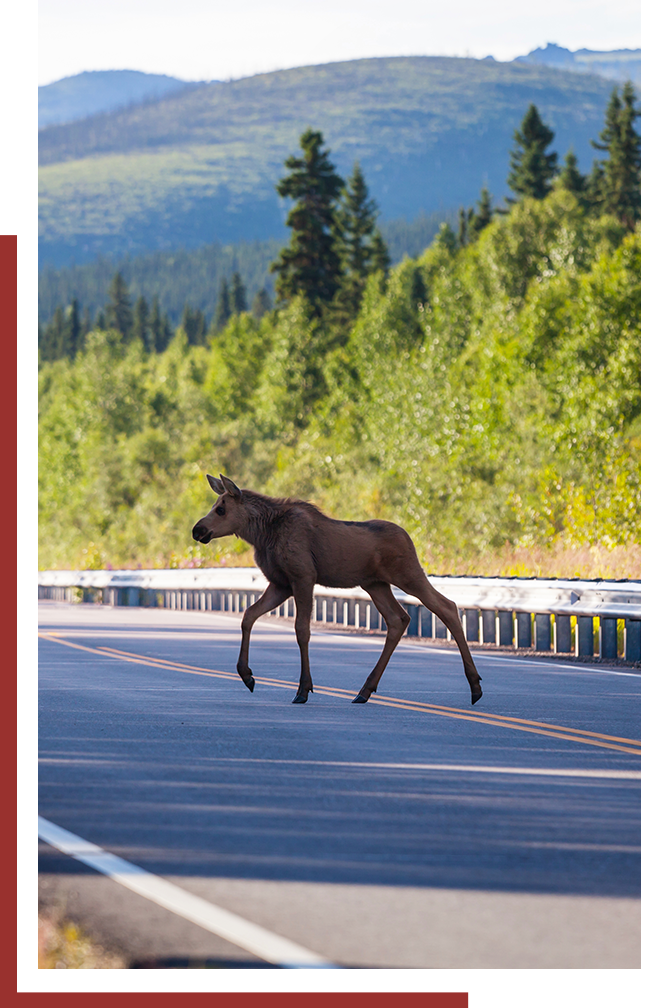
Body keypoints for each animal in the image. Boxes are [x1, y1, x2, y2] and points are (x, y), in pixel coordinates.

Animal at [192, 474, 482, 707]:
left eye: (221, 509)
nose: (197, 529)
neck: (262, 535)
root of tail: (409, 538)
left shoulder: (303, 577)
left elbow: (302, 630)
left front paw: (303, 689)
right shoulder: (280, 584)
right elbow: (248, 616)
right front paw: (247, 675)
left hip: (408, 574)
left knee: (447, 606)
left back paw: (475, 686)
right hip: (375, 584)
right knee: (398, 619)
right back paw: (365, 690)